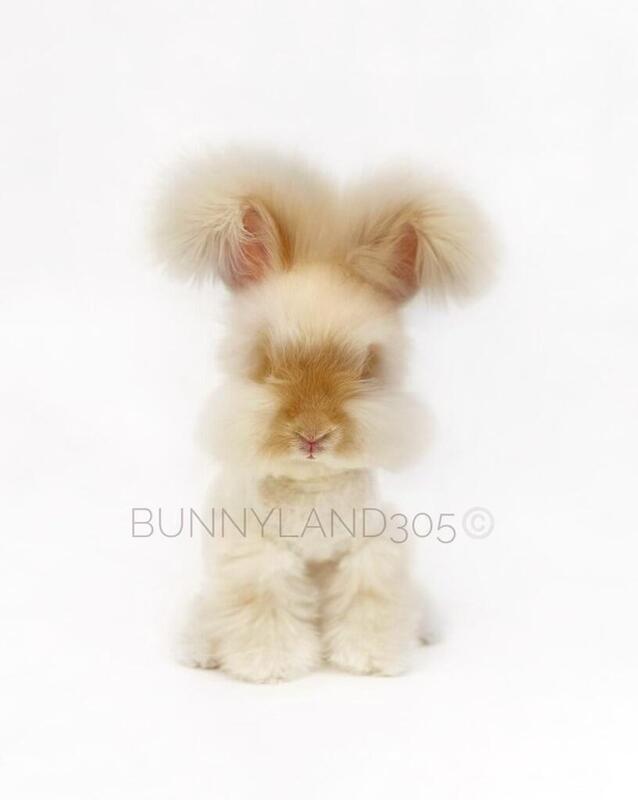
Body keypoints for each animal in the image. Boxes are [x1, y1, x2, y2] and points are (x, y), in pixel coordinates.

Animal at [153, 147, 493, 683]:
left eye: (366, 367)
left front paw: (370, 660)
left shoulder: (371, 547)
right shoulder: (256, 552)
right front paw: (272, 666)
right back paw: (200, 651)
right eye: (267, 363)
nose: (313, 436)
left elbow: (370, 597)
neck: (312, 486)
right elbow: (264, 605)